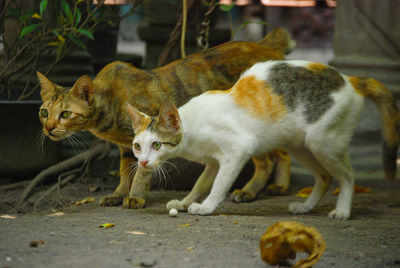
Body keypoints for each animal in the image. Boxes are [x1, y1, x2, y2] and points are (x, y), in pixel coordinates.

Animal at [36, 28, 294, 208]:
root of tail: (264, 44)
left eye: (66, 114)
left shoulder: (148, 134)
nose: (48, 128)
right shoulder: (127, 147)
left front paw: (135, 198)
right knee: (282, 152)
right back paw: (280, 186)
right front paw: (118, 195)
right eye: (44, 112)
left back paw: (250, 191)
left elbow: (141, 173)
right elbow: (124, 172)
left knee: (267, 160)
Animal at [126, 60, 400, 220]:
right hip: (301, 147)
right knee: (325, 177)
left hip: (323, 143)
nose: (143, 162)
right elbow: (200, 184)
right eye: (137, 146)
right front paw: (185, 202)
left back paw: (342, 210)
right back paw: (306, 207)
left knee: (347, 176)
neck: (191, 129)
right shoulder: (213, 162)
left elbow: (219, 185)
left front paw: (206, 206)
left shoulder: (238, 150)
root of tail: (351, 80)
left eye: (157, 145)